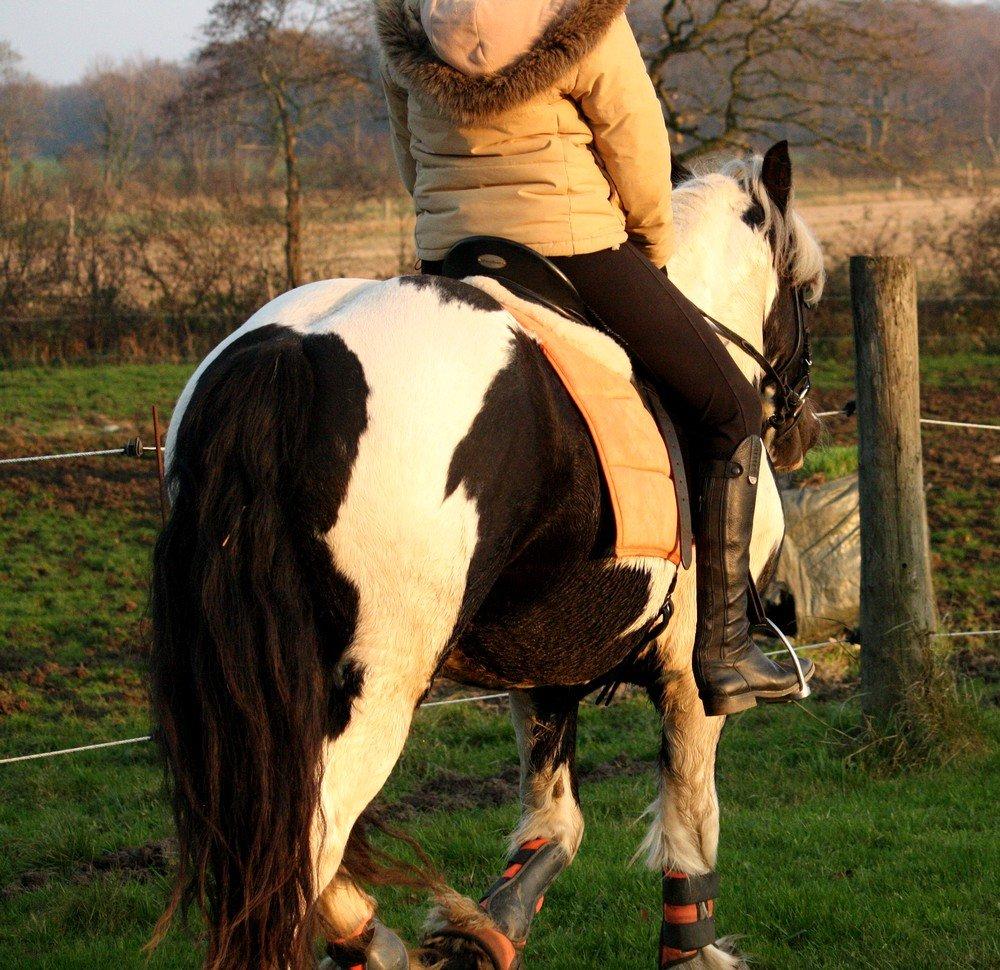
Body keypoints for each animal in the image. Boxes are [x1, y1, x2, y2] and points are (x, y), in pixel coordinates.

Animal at [154, 144, 828, 968]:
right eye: (807, 293)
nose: (799, 429)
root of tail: (290, 356)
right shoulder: (689, 681)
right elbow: (691, 837)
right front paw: (695, 952)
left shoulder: (546, 666)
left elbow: (554, 827)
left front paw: (481, 931)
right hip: (373, 690)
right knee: (300, 854)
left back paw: (376, 943)